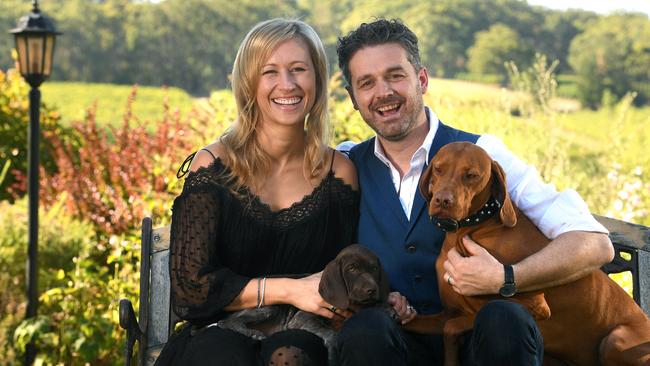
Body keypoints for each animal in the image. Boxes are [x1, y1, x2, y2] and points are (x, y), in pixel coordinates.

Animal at [404, 142, 648, 366]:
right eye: (438, 169)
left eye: (471, 175)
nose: (442, 201)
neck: (471, 229)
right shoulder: (447, 312)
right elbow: (416, 322)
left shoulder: (535, 305)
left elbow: (452, 326)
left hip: (615, 340)